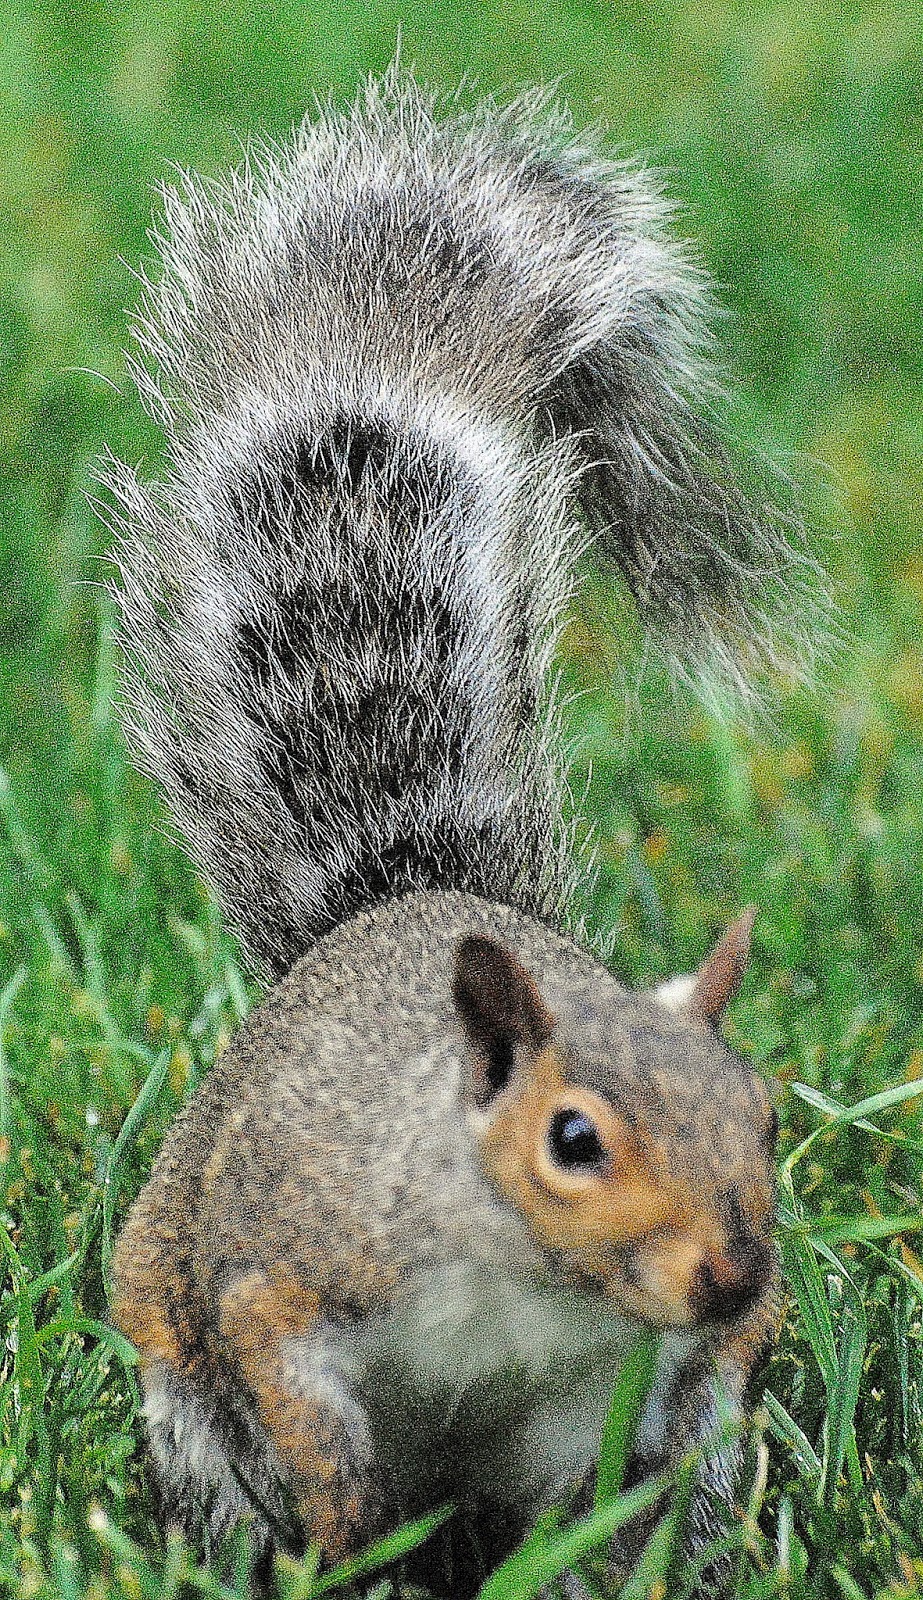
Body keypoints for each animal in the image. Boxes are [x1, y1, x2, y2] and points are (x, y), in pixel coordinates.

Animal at [104, 69, 796, 1597]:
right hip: (178, 1386)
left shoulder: (611, 1395)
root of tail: (396, 909)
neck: (519, 1279)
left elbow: (599, 1499)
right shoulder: (293, 1259)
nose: (733, 1276)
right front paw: (343, 1529)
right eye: (573, 1140)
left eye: (763, 1114)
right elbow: (281, 1371)